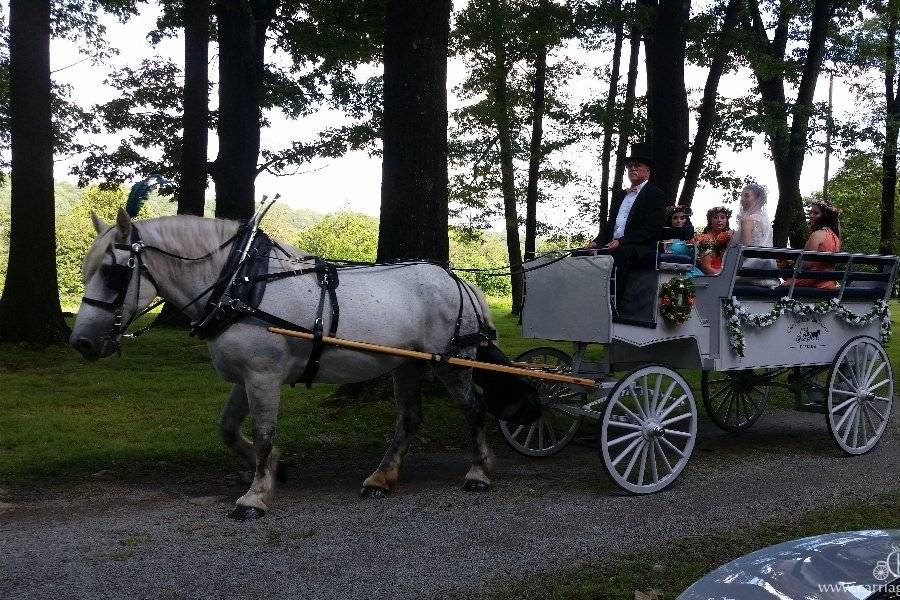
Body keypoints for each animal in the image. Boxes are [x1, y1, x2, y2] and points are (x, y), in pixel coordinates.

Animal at [71, 212, 500, 520]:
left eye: (113, 273)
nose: (81, 342)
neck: (242, 284)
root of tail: (458, 282)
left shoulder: (263, 375)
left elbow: (264, 433)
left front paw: (255, 497)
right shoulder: (243, 378)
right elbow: (228, 429)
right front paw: (277, 468)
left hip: (452, 364)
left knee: (475, 408)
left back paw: (479, 472)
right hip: (409, 365)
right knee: (409, 418)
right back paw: (381, 478)